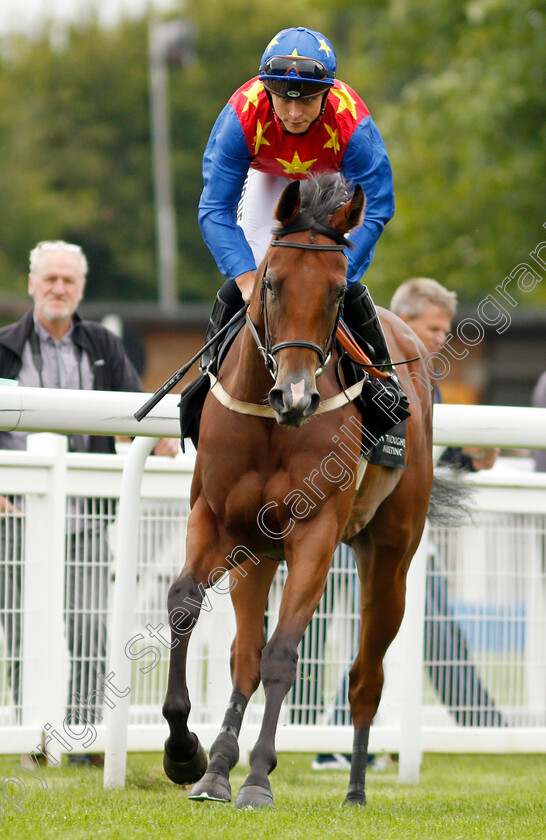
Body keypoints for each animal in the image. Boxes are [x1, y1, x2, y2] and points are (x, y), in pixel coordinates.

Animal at [159, 172, 432, 808]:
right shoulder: (217, 519)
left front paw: (258, 777)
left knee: (365, 676)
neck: (269, 423)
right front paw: (186, 753)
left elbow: (284, 653)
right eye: (271, 284)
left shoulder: (315, 533)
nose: (297, 396)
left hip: (390, 558)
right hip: (256, 553)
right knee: (243, 656)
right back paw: (216, 769)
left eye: (336, 293)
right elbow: (185, 604)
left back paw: (354, 789)